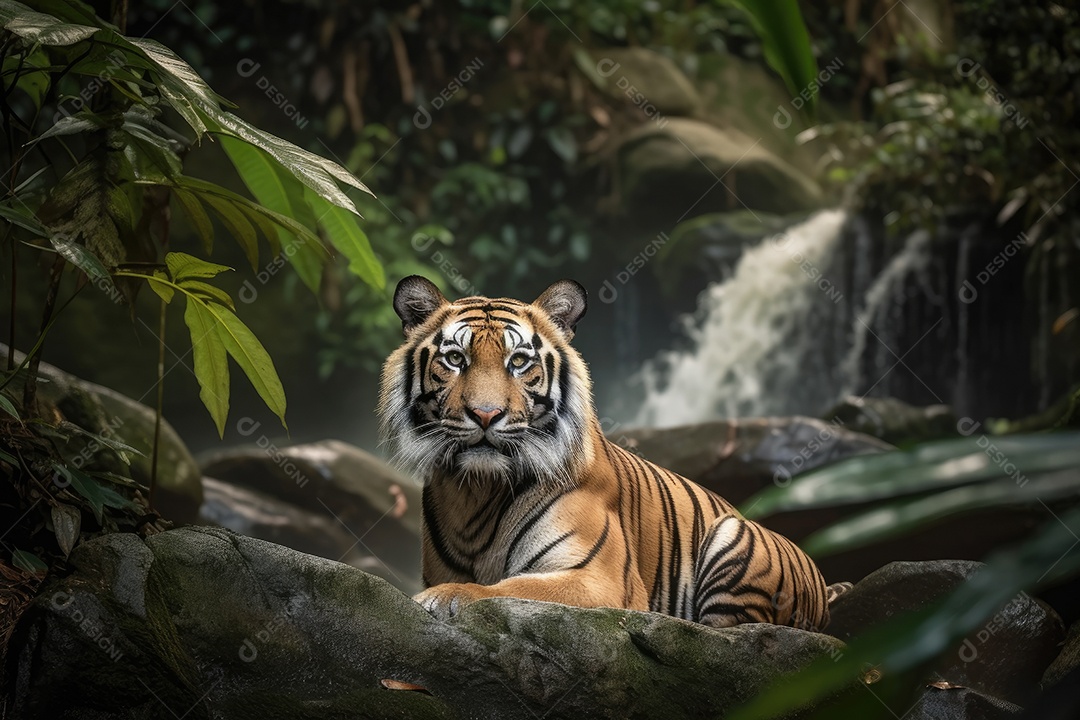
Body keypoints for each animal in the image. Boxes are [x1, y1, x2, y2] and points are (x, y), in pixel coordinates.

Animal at [378, 275, 834, 630]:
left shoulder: (595, 578)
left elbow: (505, 587)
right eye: (456, 358)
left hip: (733, 536)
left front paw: (443, 597)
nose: (485, 414)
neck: (476, 492)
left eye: (519, 361)